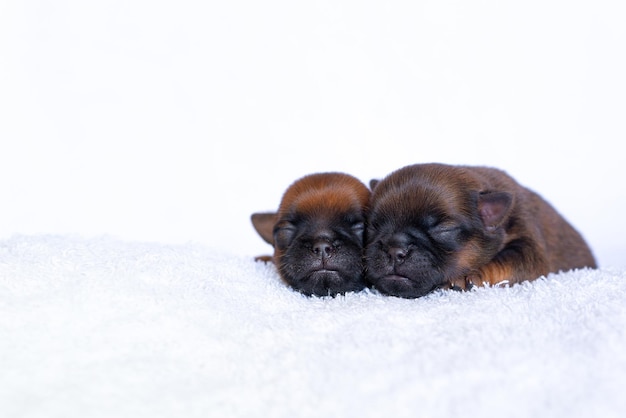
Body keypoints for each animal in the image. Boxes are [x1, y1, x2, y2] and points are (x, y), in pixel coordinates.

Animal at [366, 163, 596, 298]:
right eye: (373, 226)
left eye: (444, 229)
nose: (394, 250)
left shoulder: (529, 247)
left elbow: (504, 261)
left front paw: (467, 277)